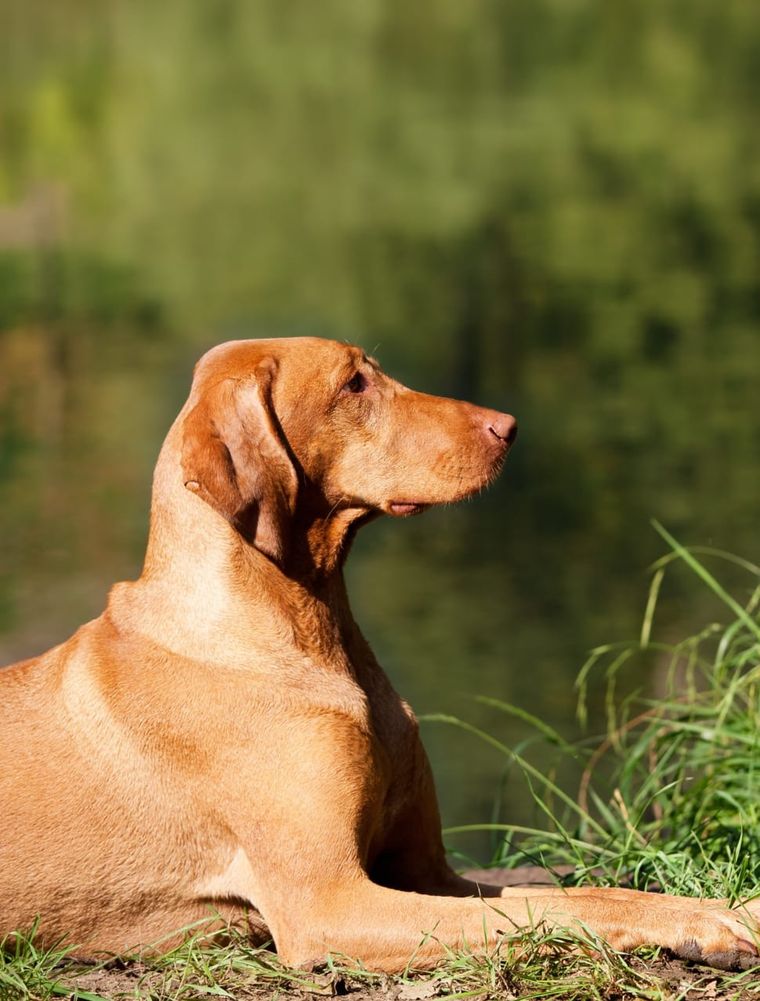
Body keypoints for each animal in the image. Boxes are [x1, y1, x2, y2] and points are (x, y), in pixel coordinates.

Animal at [0, 338, 756, 968]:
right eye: (354, 382)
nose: (507, 426)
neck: (312, 632)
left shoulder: (428, 874)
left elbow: (585, 895)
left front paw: (724, 909)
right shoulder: (329, 903)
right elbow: (559, 911)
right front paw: (704, 925)